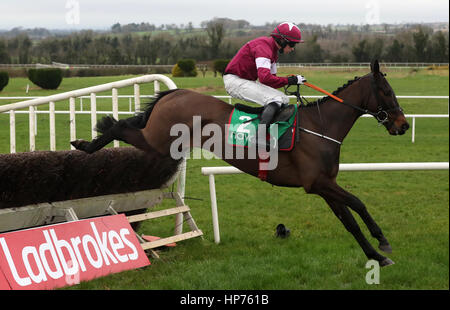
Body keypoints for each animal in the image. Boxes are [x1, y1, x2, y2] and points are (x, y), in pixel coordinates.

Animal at [73, 60, 408, 266]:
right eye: (387, 92)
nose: (403, 125)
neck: (321, 127)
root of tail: (174, 93)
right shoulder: (318, 183)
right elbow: (359, 203)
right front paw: (383, 241)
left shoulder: (324, 186)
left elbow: (349, 220)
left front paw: (377, 256)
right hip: (157, 142)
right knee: (119, 127)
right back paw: (86, 143)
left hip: (160, 145)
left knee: (127, 126)